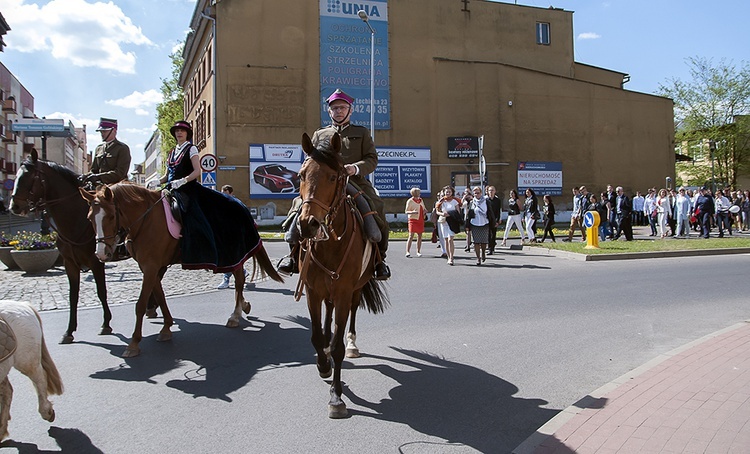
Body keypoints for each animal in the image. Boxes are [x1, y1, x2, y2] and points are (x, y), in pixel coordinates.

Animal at [9, 149, 113, 344]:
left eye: (29, 177)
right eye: (17, 175)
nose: (14, 206)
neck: (76, 219)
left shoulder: (96, 261)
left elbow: (101, 291)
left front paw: (106, 323)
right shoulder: (69, 263)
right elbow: (73, 296)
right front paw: (69, 331)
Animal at [80, 183, 284, 356]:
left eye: (111, 216)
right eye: (89, 218)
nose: (101, 254)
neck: (146, 221)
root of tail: (241, 205)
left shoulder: (151, 266)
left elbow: (140, 304)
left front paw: (134, 344)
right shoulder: (151, 266)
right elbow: (160, 296)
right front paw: (166, 328)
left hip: (234, 254)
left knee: (239, 280)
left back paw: (235, 315)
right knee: (239, 280)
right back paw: (243, 306)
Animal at [296, 132, 388, 418]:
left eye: (333, 177)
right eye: (301, 175)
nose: (308, 224)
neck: (329, 243)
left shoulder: (345, 291)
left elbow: (337, 347)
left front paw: (336, 397)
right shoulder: (312, 291)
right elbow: (315, 335)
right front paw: (322, 364)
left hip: (355, 290)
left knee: (351, 314)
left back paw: (352, 344)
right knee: (328, 314)